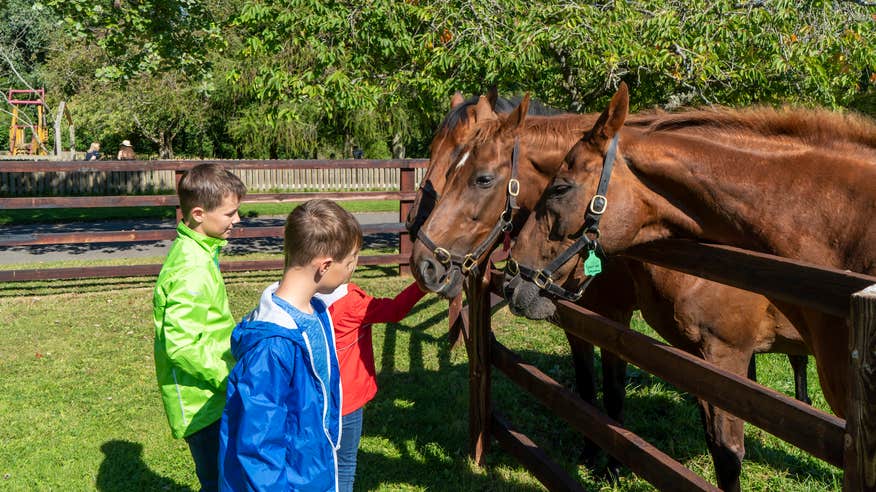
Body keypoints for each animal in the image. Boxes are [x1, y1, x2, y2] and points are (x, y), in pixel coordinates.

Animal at [412, 93, 813, 491]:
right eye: (435, 152)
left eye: (482, 178)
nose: (423, 261)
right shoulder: (578, 321)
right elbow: (587, 390)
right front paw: (591, 454)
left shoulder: (616, 319)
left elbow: (615, 392)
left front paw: (614, 467)